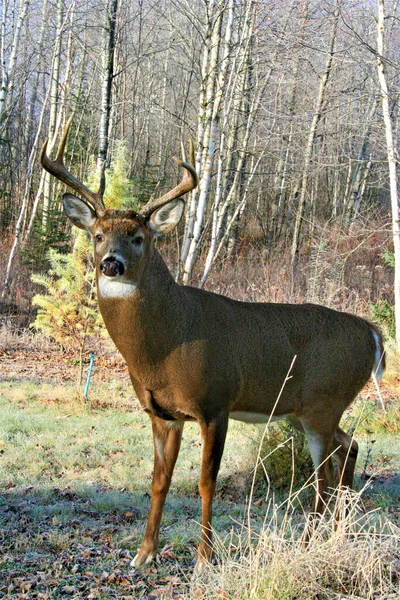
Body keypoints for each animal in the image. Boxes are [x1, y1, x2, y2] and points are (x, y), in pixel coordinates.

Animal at [39, 118, 384, 572]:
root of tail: (374, 335)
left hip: (323, 403)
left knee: (324, 474)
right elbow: (160, 480)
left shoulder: (215, 403)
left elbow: (206, 482)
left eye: (138, 237)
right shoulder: (163, 413)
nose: (111, 263)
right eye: (97, 235)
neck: (165, 346)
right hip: (305, 409)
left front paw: (205, 558)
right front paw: (143, 554)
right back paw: (338, 530)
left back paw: (312, 542)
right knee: (350, 449)